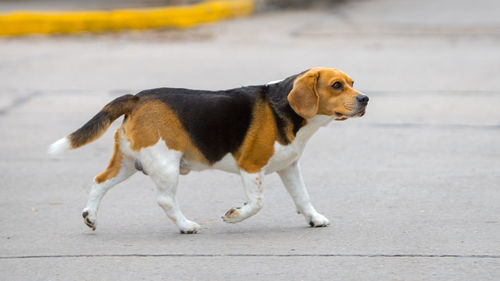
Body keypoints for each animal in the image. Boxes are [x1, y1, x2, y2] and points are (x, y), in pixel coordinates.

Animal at [47, 67, 368, 232]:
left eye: (352, 83)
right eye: (336, 85)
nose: (365, 99)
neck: (286, 110)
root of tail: (137, 98)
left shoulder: (289, 167)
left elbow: (303, 197)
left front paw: (314, 218)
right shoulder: (251, 167)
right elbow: (257, 203)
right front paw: (234, 215)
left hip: (127, 163)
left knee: (99, 181)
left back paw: (90, 216)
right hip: (165, 164)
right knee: (165, 199)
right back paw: (186, 225)